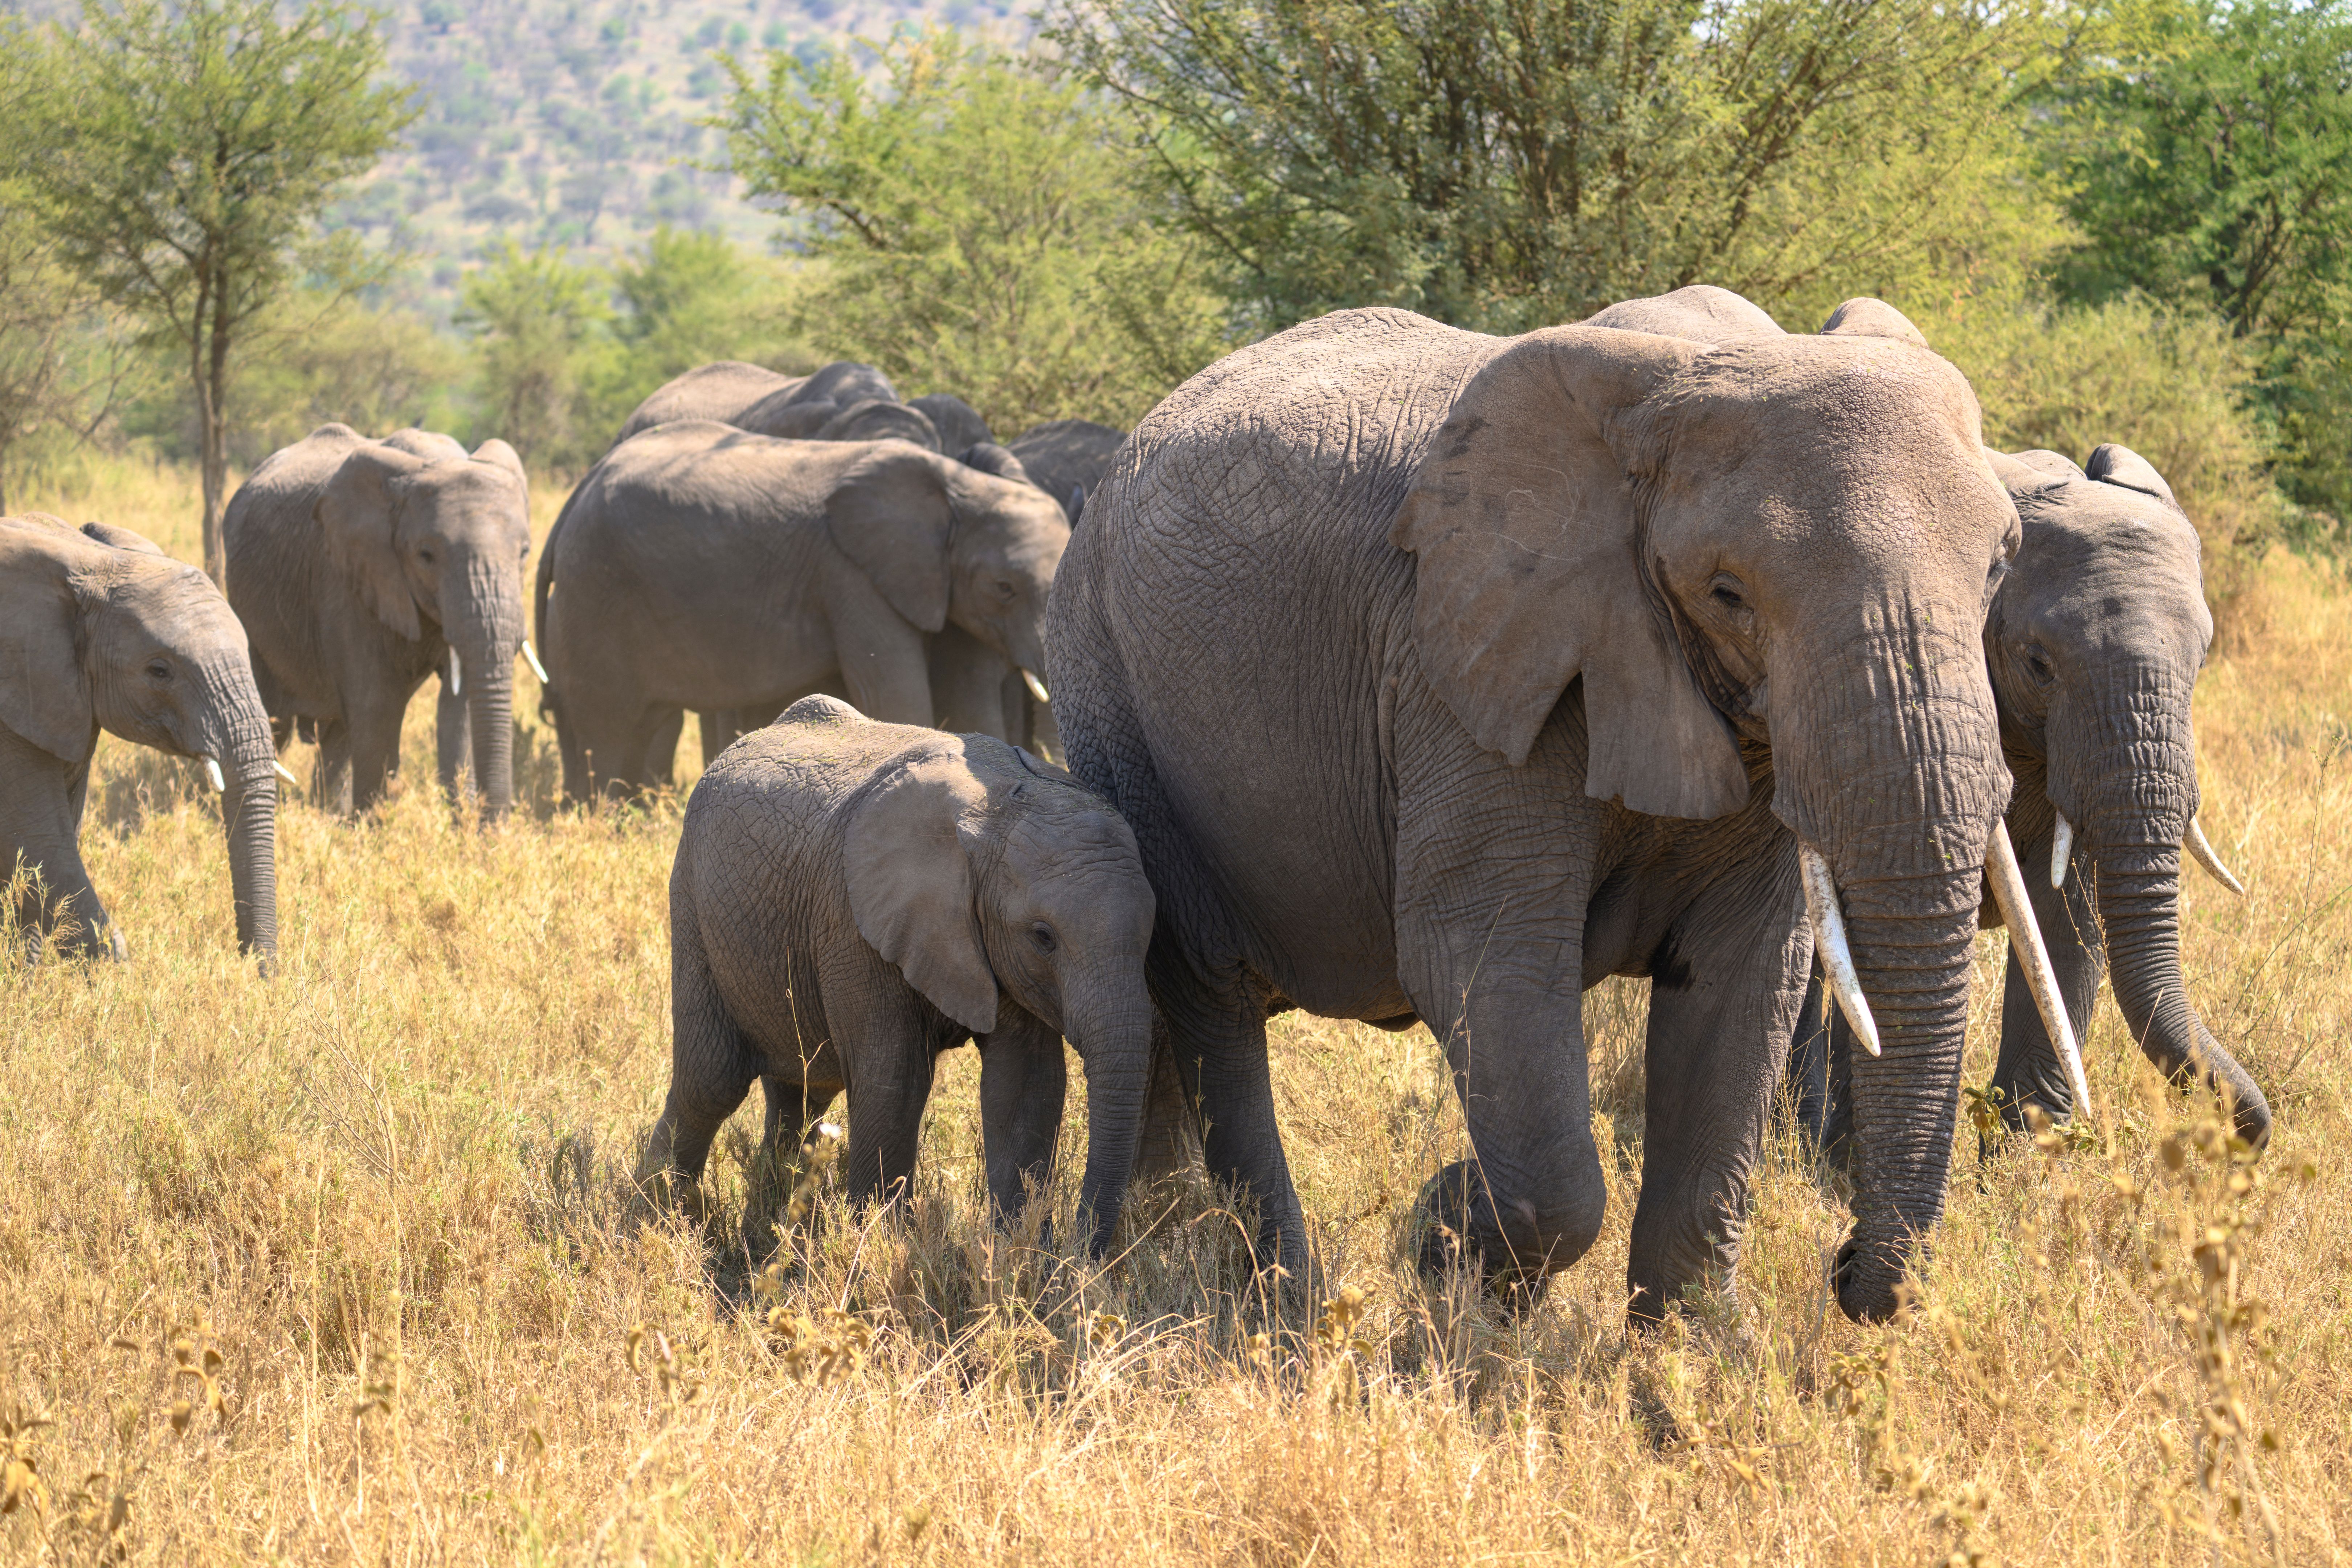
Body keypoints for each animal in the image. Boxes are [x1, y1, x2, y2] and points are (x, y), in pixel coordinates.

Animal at [223, 425, 532, 821]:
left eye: (524, 552)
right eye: (426, 556)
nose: (492, 827)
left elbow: (457, 710)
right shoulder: (347, 577)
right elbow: (377, 706)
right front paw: (374, 828)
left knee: (336, 735)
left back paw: (330, 817)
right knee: (273, 720)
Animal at [536, 423, 1069, 802]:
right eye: (1004, 588)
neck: (961, 486)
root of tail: (578, 493)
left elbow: (963, 689)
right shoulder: (853, 574)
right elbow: (893, 692)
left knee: (648, 722)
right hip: (596, 592)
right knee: (608, 725)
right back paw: (603, 817)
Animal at [637, 694, 1155, 1251]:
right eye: (1043, 937)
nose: (1084, 1254)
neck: (996, 810)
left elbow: (1025, 1085)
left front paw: (1021, 1257)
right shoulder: (855, 923)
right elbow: (895, 1079)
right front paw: (881, 1247)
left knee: (802, 1089)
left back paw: (769, 1229)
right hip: (693, 904)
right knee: (711, 1081)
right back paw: (657, 1220)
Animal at [1045, 292, 2040, 1325]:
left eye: (1998, 570)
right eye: (1727, 592)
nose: (1843, 1270)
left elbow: (1744, 977)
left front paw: (1691, 1351)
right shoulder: (1455, 661)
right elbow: (1481, 962)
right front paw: (1442, 1238)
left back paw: (1164, 1248)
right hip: (1114, 697)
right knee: (1214, 997)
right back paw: (1272, 1304)